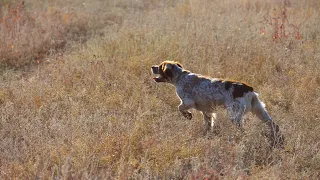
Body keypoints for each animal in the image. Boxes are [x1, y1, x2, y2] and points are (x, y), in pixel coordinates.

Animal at [151, 60, 284, 148]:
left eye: (160, 66)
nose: (152, 67)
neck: (180, 77)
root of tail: (248, 89)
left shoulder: (188, 101)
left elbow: (180, 107)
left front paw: (188, 115)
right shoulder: (206, 110)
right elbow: (208, 124)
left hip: (234, 115)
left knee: (243, 130)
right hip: (260, 110)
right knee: (273, 124)